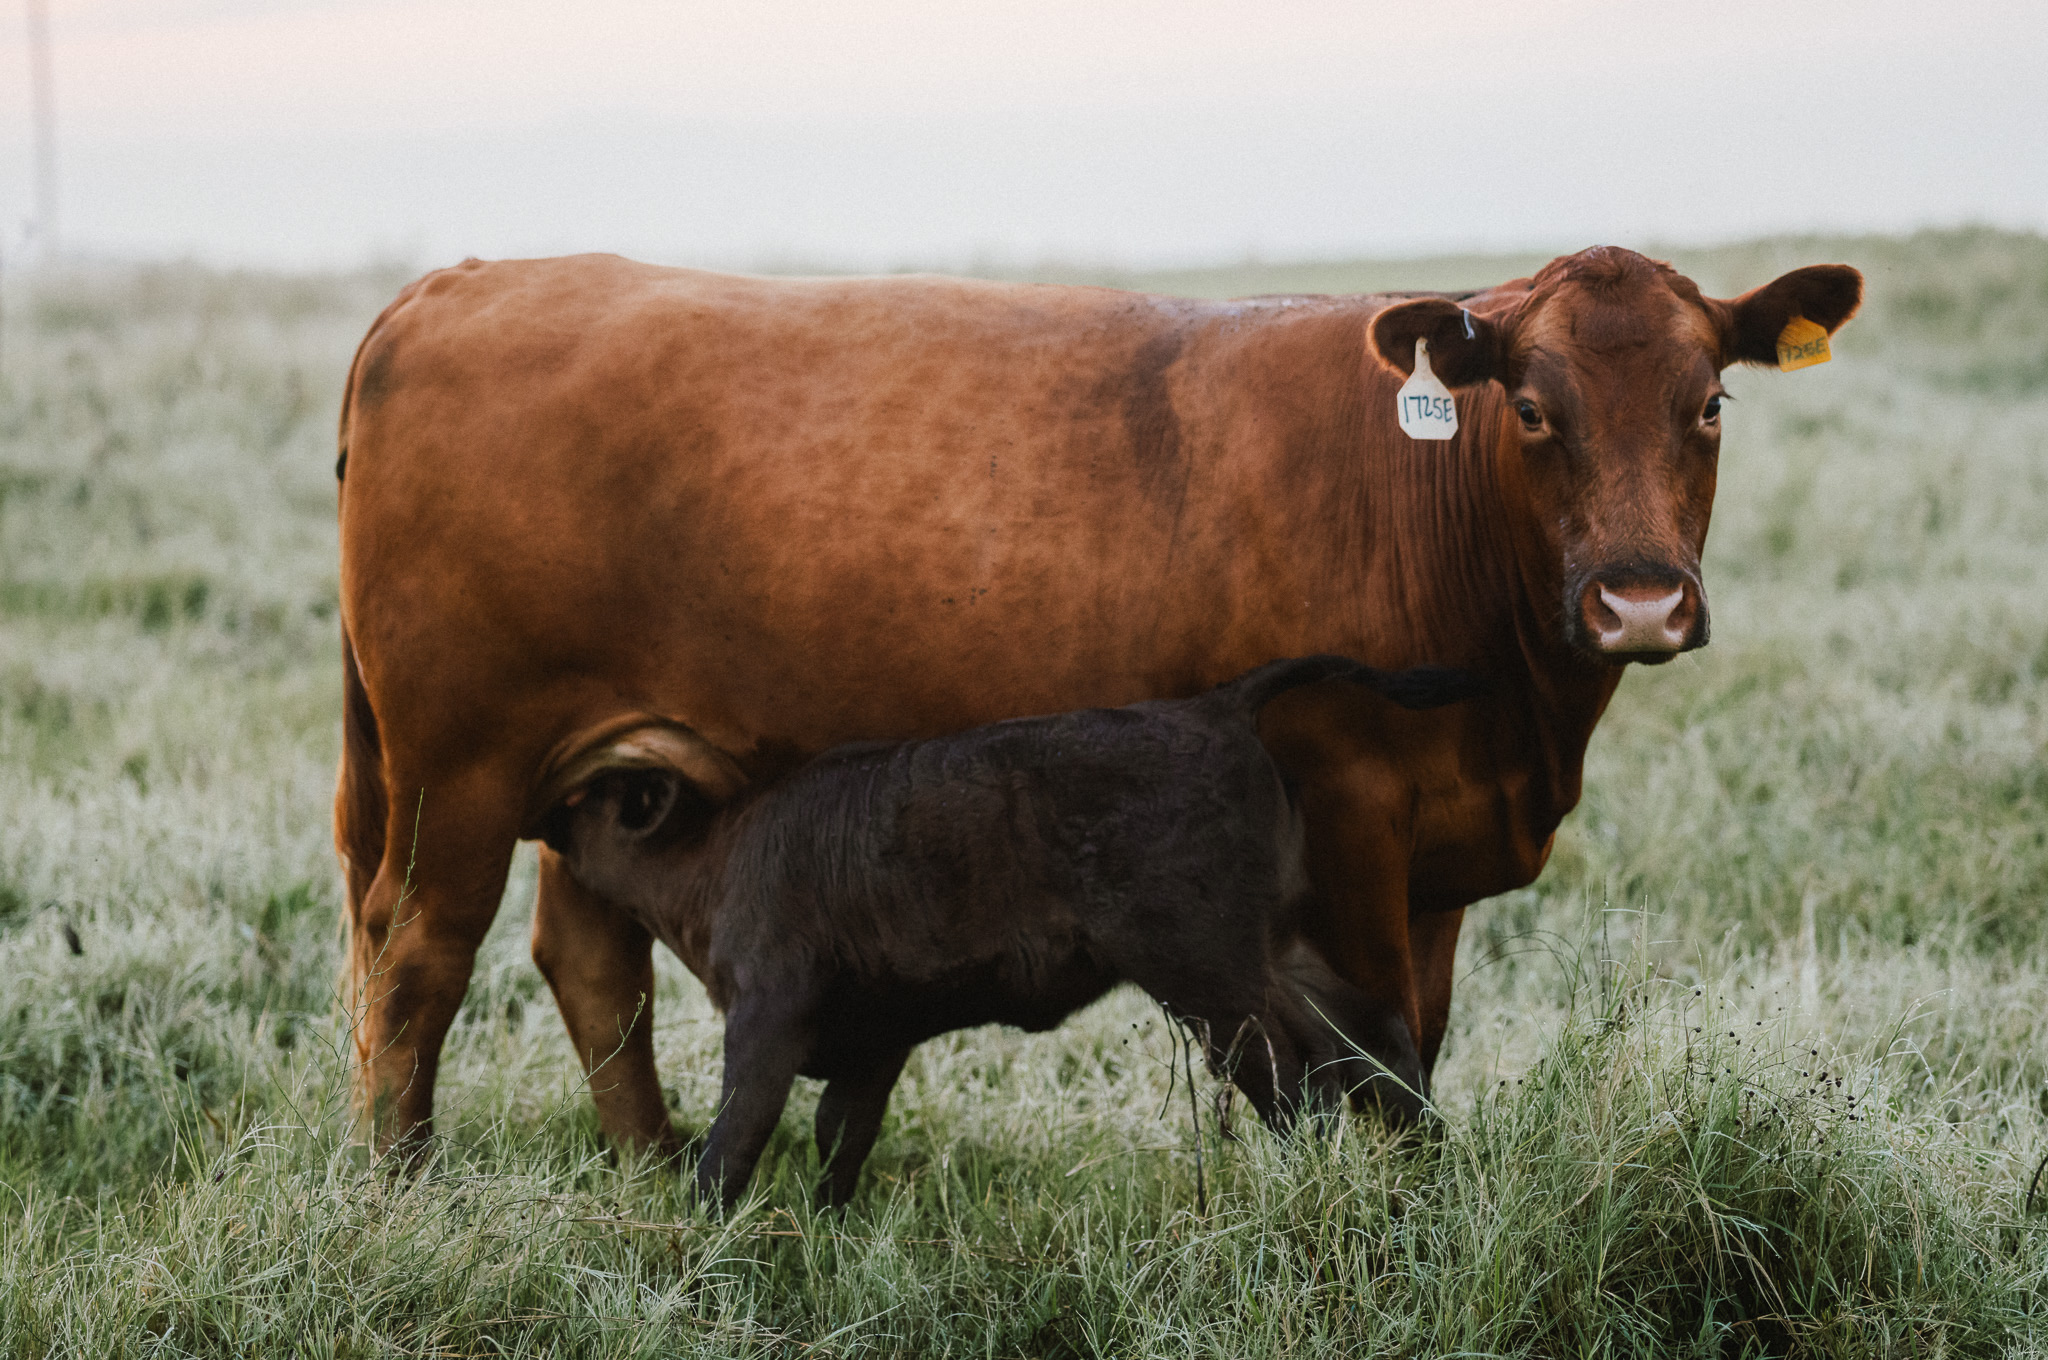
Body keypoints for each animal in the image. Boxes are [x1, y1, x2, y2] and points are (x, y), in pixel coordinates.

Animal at [546, 654, 1483, 1207]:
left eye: (591, 799)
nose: (545, 811)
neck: (725, 851)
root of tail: (1216, 709)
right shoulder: (874, 1043)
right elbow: (839, 1143)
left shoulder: (766, 1021)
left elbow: (734, 1141)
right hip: (1279, 954)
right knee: (1371, 1037)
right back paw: (1431, 1170)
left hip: (1212, 979)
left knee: (1297, 1084)